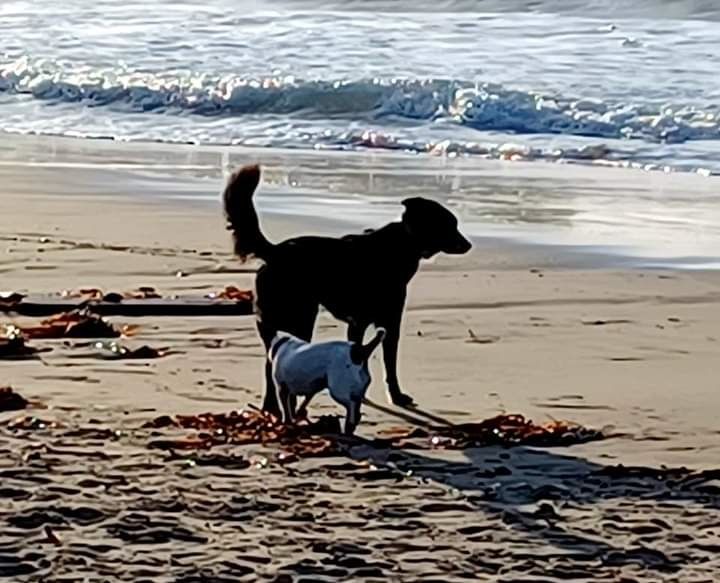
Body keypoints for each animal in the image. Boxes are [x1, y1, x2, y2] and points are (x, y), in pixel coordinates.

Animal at [225, 165, 472, 416]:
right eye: (448, 225)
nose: (468, 245)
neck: (403, 244)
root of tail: (274, 252)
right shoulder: (377, 322)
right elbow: (387, 363)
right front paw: (395, 396)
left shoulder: (371, 324)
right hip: (299, 318)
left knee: (271, 361)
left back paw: (271, 407)